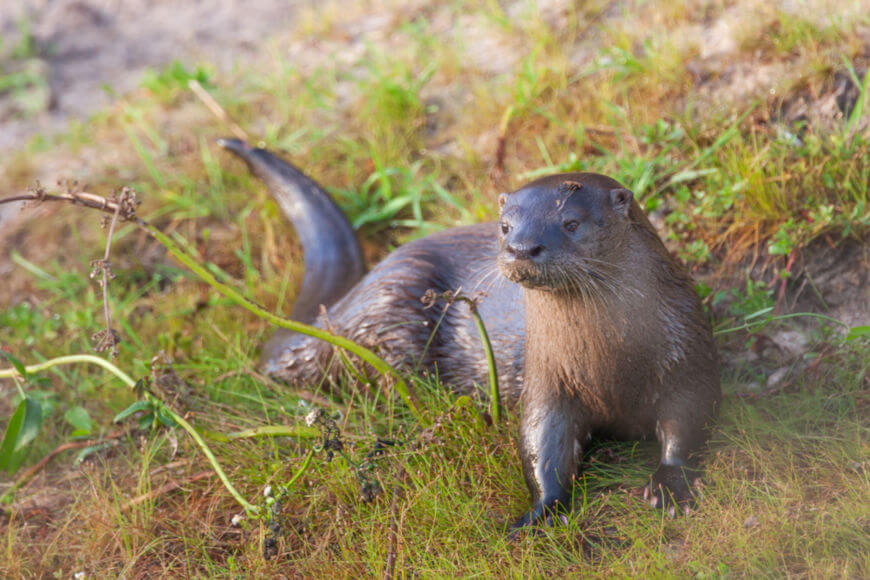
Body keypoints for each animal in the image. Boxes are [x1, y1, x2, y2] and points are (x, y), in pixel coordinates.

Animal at [218, 139, 724, 524]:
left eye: (571, 223)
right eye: (505, 226)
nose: (522, 247)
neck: (613, 362)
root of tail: (354, 297)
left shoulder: (688, 353)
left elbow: (689, 420)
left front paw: (670, 485)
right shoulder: (548, 379)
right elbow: (542, 443)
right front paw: (538, 512)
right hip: (394, 314)